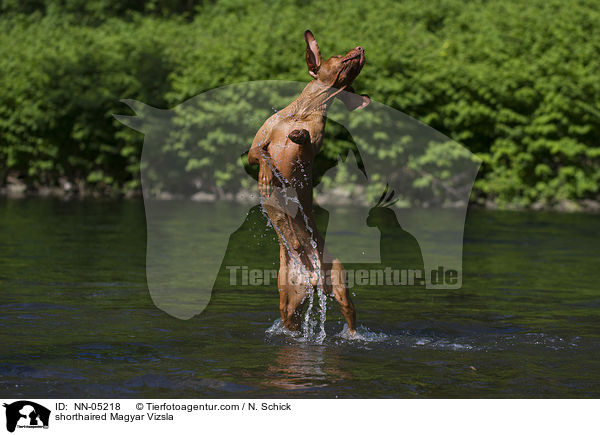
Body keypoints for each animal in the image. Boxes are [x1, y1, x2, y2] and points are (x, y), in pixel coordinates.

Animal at [248, 30, 370, 336]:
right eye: (337, 55)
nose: (361, 47)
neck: (302, 112)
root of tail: (313, 277)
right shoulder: (254, 149)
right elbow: (264, 156)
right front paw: (267, 178)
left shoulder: (310, 153)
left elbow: (303, 144)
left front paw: (299, 135)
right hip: (288, 303)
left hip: (339, 285)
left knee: (350, 317)